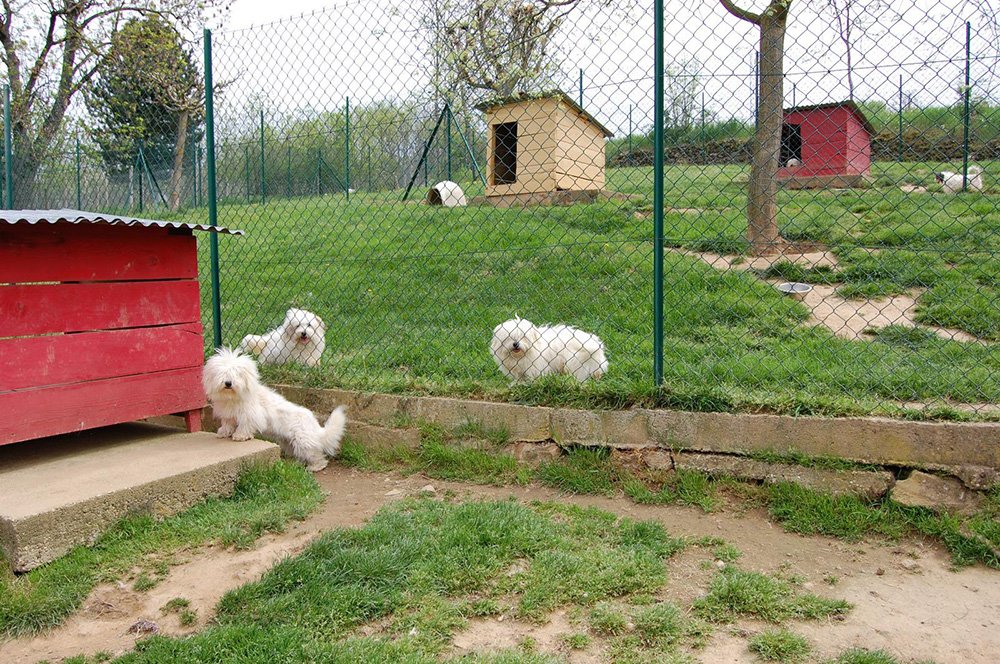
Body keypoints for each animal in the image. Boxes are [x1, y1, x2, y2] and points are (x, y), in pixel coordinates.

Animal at [201, 348, 346, 472]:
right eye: (222, 373)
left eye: (237, 374)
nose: (228, 383)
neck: (232, 397)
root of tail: (317, 428)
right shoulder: (228, 415)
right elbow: (227, 424)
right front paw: (224, 432)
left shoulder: (250, 415)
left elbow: (245, 426)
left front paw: (240, 436)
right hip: (289, 442)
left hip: (303, 441)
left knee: (316, 455)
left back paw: (315, 467)